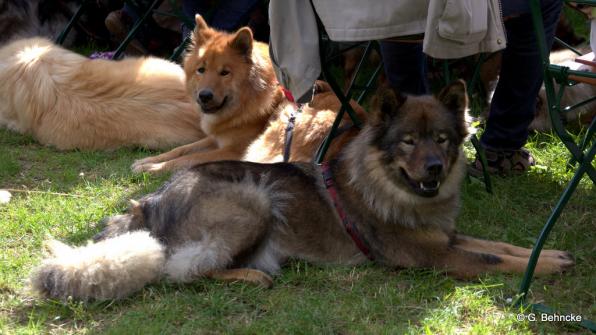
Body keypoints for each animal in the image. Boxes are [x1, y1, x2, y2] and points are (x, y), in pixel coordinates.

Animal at [29, 82, 572, 302]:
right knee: (177, 271)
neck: (389, 186)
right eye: (408, 142)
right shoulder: (433, 256)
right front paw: (543, 269)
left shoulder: (446, 239)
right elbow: (493, 260)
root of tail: (149, 202)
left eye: (441, 139)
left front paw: (549, 256)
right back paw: (252, 277)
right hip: (255, 200)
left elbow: (500, 247)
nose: (436, 169)